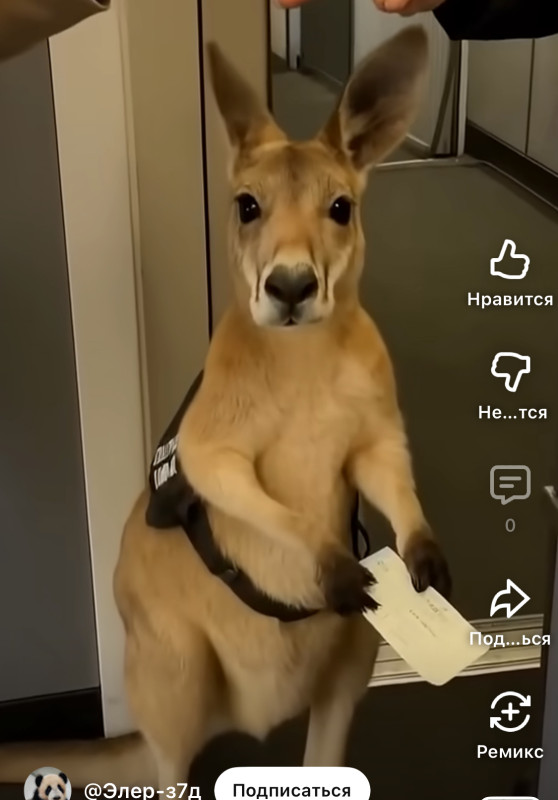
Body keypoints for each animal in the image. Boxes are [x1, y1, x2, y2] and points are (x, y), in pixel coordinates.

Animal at [0, 27, 450, 789]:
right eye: (246, 206)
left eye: (341, 208)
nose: (292, 285)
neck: (303, 357)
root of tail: (251, 716)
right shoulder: (212, 440)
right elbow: (239, 486)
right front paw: (330, 558)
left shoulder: (373, 429)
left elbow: (388, 469)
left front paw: (424, 554)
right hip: (174, 665)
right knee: (171, 765)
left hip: (350, 659)